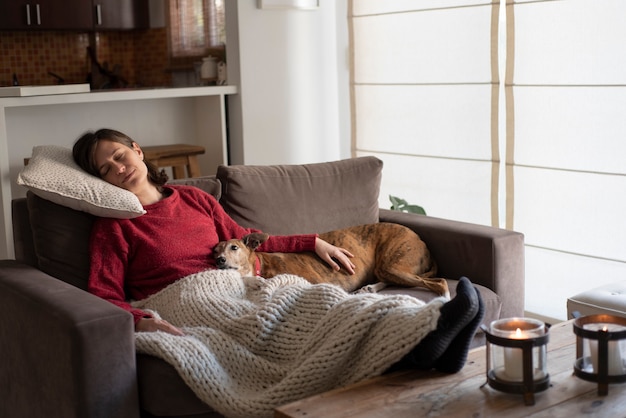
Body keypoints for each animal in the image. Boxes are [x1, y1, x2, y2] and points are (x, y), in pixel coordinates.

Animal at [213, 222, 448, 298]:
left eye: (234, 247)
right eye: (214, 252)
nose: (219, 261)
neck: (260, 265)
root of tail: (420, 240)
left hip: (391, 264)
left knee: (440, 282)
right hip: (388, 268)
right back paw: (370, 288)